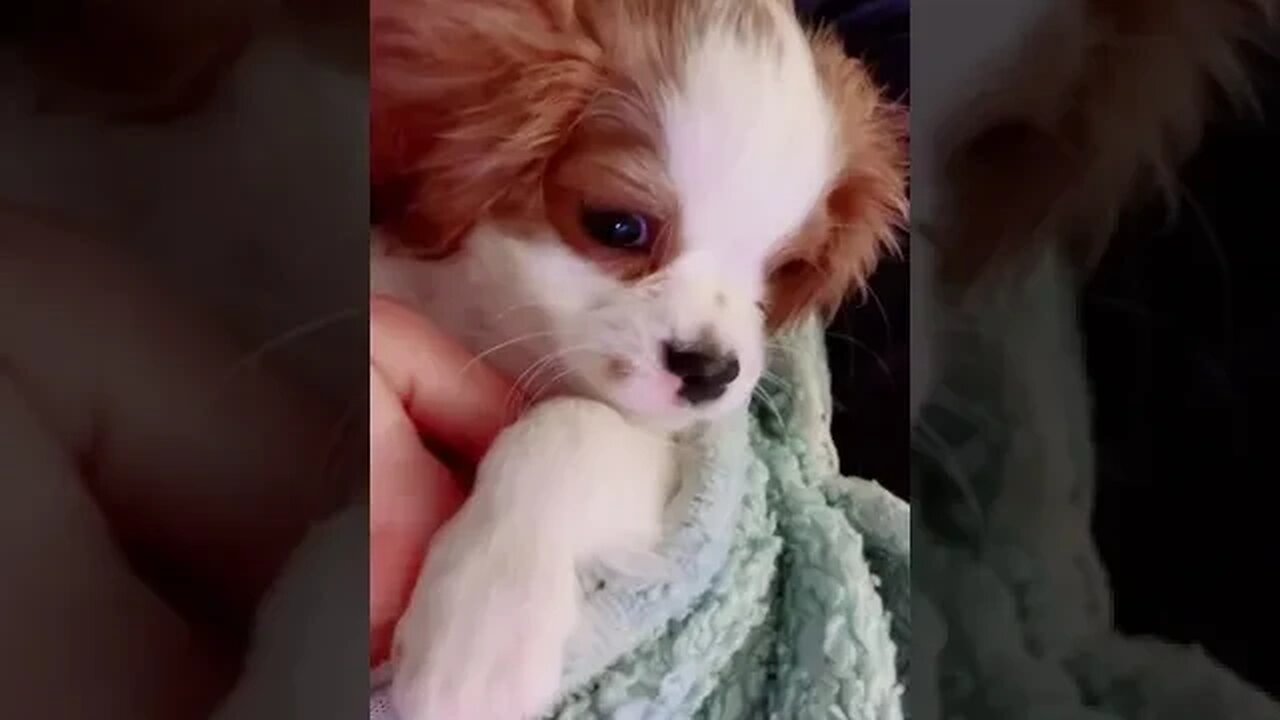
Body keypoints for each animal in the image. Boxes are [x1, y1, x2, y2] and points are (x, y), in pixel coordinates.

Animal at [371, 2, 911, 712]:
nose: (710, 372)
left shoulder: (676, 450)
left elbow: (575, 424)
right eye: (618, 226)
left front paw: (484, 629)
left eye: (783, 271)